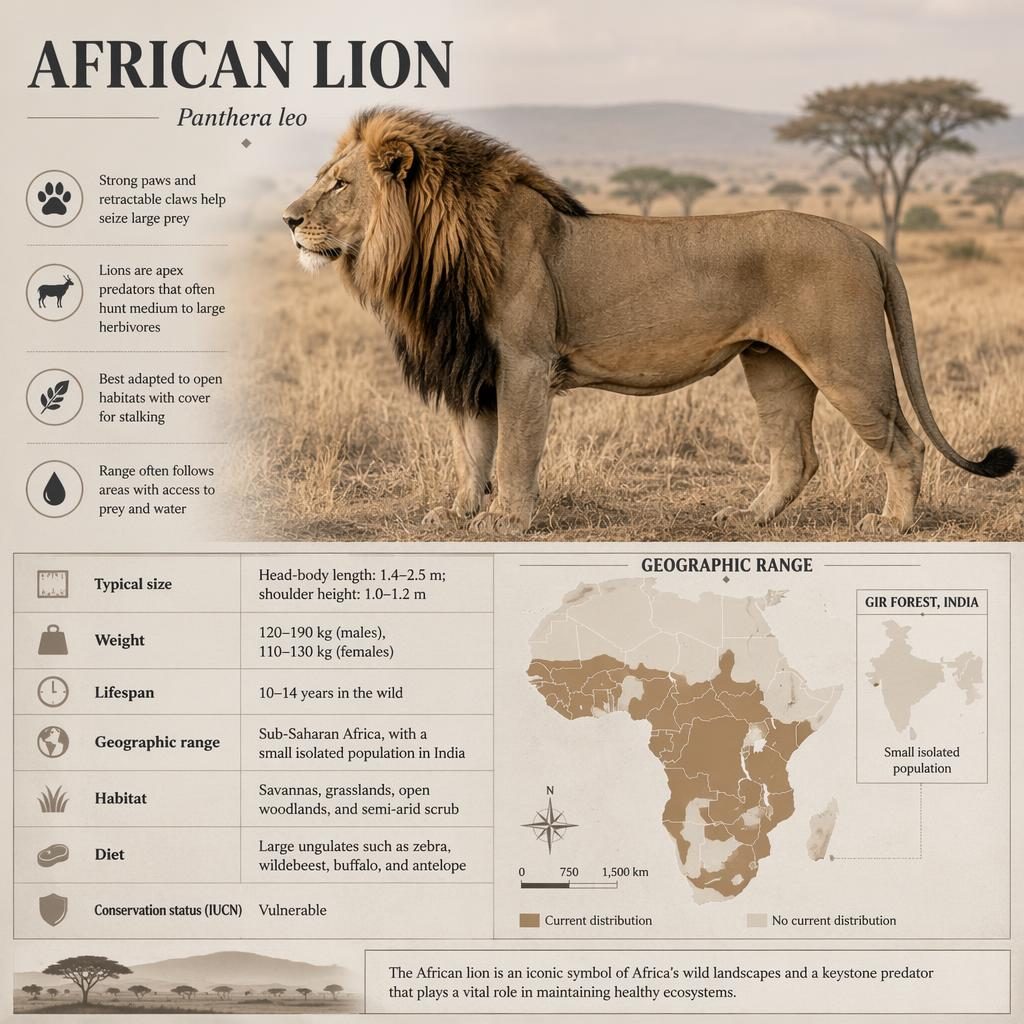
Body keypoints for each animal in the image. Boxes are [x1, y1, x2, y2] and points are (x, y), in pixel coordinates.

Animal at [283, 107, 1016, 533]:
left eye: (340, 184)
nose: (288, 219)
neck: (428, 256)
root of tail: (858, 232)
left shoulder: (523, 360)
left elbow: (514, 450)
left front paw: (509, 520)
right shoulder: (471, 365)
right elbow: (472, 449)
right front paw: (456, 512)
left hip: (846, 361)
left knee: (903, 442)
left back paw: (893, 523)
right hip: (773, 365)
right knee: (797, 456)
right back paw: (746, 517)